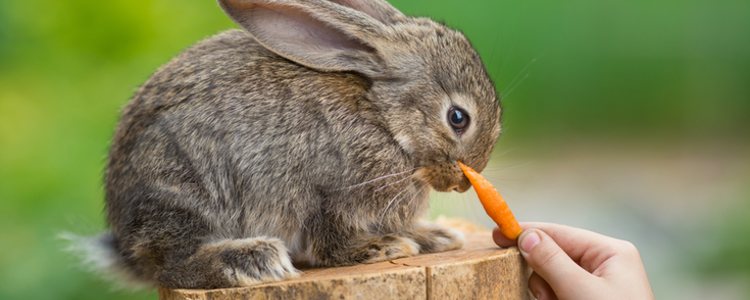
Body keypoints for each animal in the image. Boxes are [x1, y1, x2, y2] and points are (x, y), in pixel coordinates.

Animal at [79, 0, 502, 290]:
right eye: (458, 118)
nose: (465, 180)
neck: (385, 119)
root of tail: (123, 244)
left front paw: (434, 237)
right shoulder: (327, 196)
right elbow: (331, 242)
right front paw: (383, 248)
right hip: (183, 191)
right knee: (171, 265)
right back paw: (250, 260)